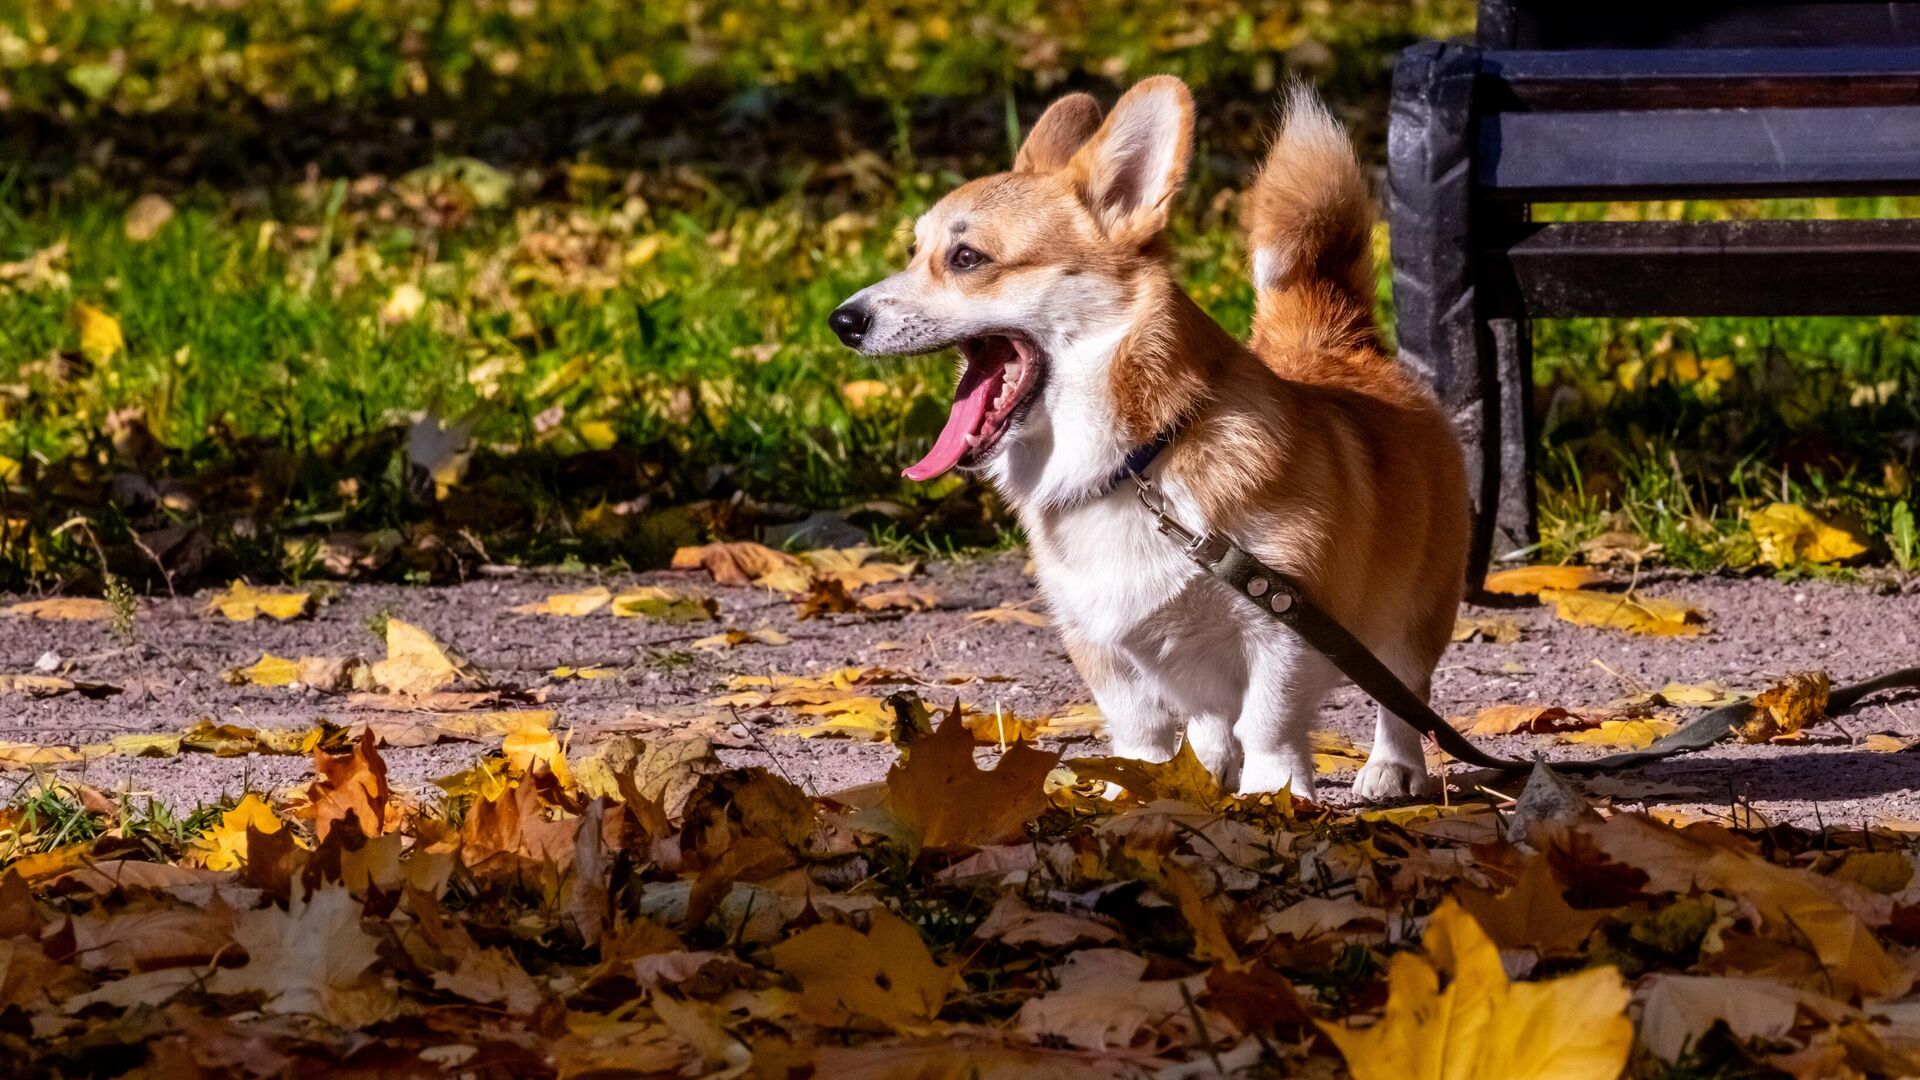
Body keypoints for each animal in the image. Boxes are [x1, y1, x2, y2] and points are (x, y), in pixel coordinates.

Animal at [829, 77, 1466, 799]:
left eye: (966, 258)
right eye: (914, 253)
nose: (841, 321)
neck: (1137, 462)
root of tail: (1335, 340)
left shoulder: (1285, 620)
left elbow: (1270, 725)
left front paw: (1273, 797)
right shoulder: (1098, 640)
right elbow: (1141, 732)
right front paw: (1134, 791)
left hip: (1414, 615)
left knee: (1402, 695)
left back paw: (1392, 767)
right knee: (1209, 717)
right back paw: (1208, 766)